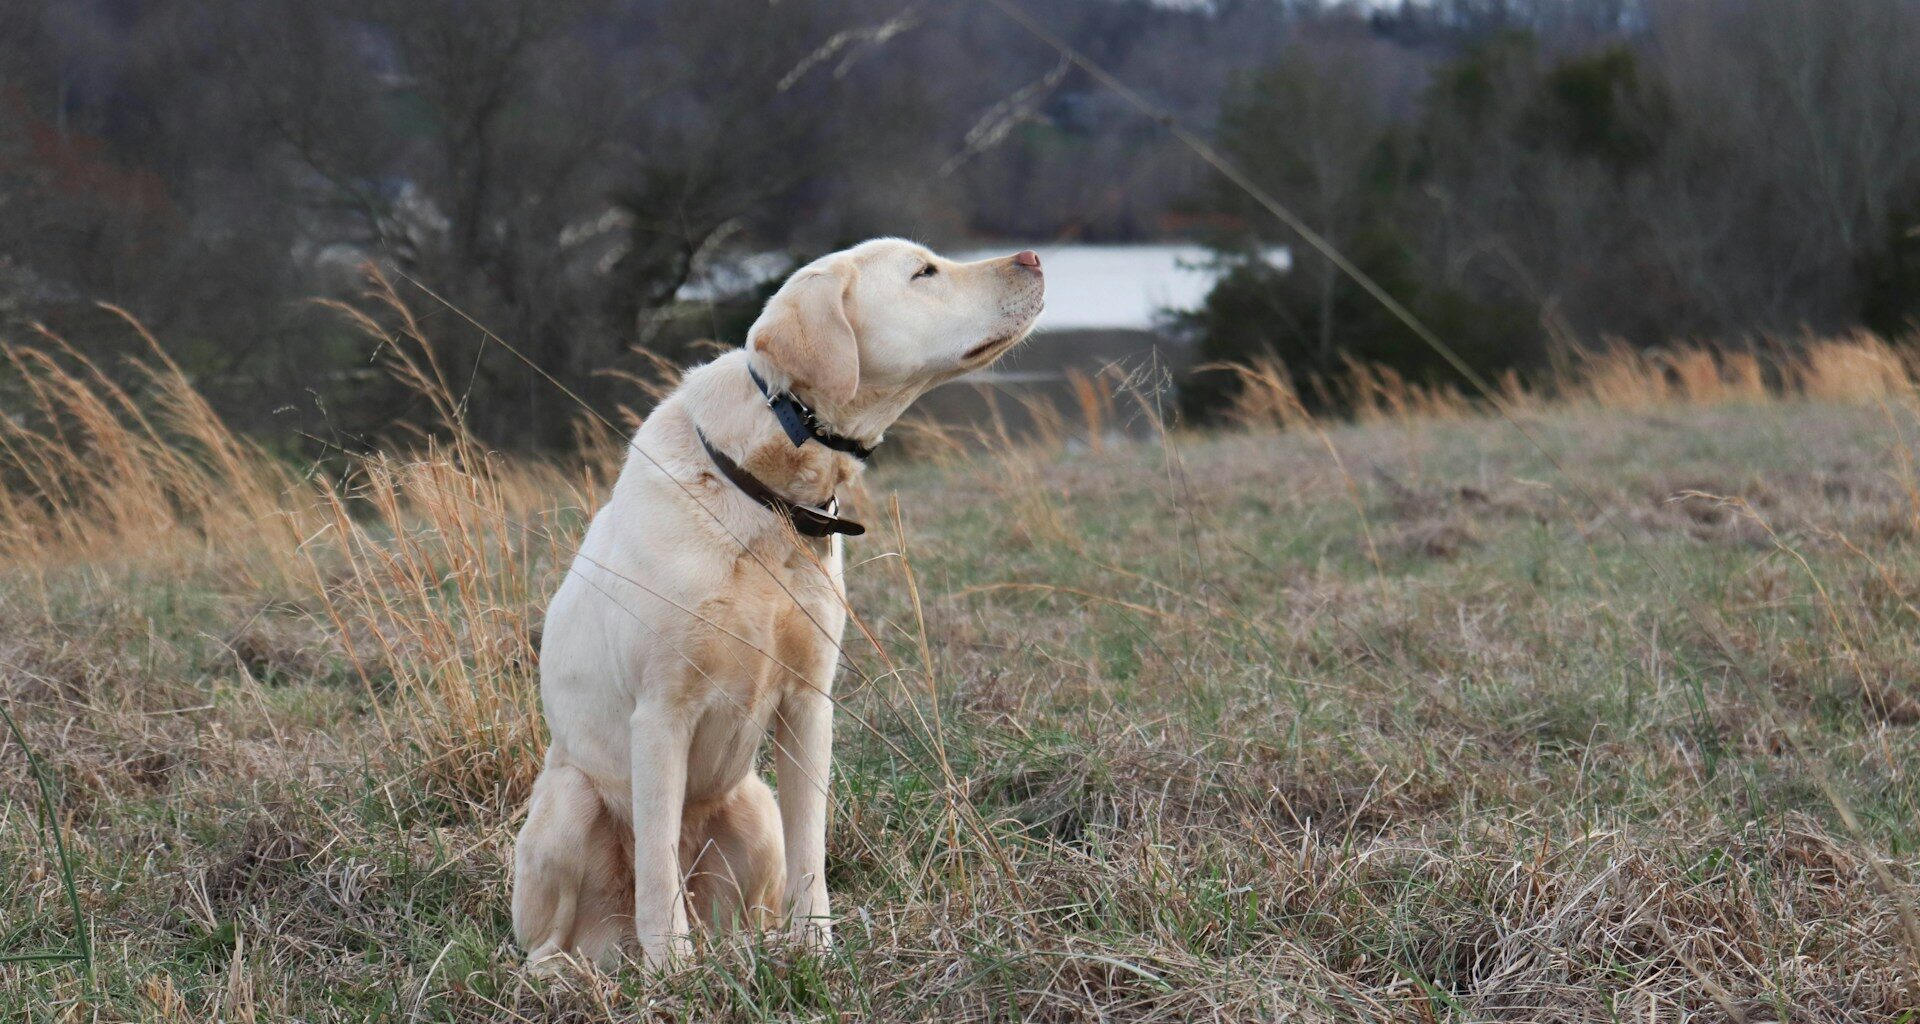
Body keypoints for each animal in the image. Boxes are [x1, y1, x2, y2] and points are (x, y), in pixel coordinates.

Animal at [510, 237, 1044, 964]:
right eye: (924, 272)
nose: (1034, 258)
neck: (766, 498)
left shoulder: (809, 704)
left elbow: (810, 849)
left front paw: (816, 950)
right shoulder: (660, 716)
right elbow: (657, 867)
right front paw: (673, 971)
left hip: (752, 807)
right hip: (569, 800)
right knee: (557, 936)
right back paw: (571, 970)